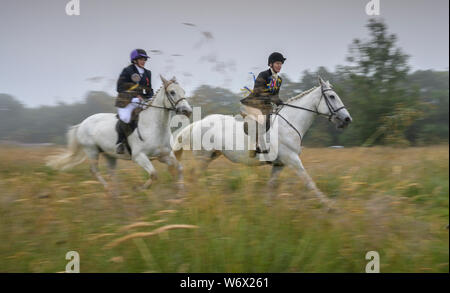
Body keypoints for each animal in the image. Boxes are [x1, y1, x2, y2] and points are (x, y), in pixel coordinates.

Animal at [47, 76, 192, 193]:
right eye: (172, 92)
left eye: (184, 91)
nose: (188, 111)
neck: (155, 127)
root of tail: (82, 123)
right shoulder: (139, 156)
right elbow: (153, 174)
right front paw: (139, 189)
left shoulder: (164, 156)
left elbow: (179, 168)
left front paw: (180, 192)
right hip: (92, 151)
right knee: (95, 171)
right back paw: (108, 189)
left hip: (109, 154)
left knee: (111, 173)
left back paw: (115, 192)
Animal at [174, 77, 354, 205]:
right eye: (332, 96)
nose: (347, 119)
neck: (289, 123)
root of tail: (198, 123)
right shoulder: (292, 159)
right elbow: (309, 182)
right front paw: (329, 206)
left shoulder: (279, 164)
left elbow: (271, 186)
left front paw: (266, 209)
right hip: (202, 157)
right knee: (194, 176)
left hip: (210, 156)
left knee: (196, 177)